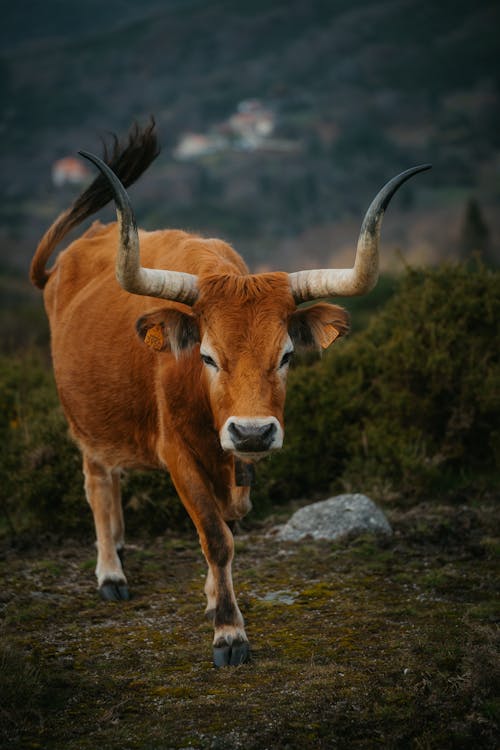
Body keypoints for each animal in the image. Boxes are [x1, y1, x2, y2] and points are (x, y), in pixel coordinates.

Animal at [30, 123, 430, 668]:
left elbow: (227, 525)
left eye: (286, 355)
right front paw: (228, 632)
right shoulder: (178, 454)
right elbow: (216, 537)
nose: (253, 432)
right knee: (99, 484)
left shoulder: (235, 462)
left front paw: (212, 598)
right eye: (207, 357)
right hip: (86, 423)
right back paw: (110, 571)